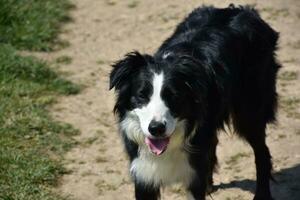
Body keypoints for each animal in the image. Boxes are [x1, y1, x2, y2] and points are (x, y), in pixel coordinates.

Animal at [109, 4, 280, 200]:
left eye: (173, 96)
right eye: (142, 95)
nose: (156, 128)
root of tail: (245, 10)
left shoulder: (193, 174)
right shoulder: (143, 173)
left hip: (250, 110)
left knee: (262, 152)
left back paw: (262, 194)